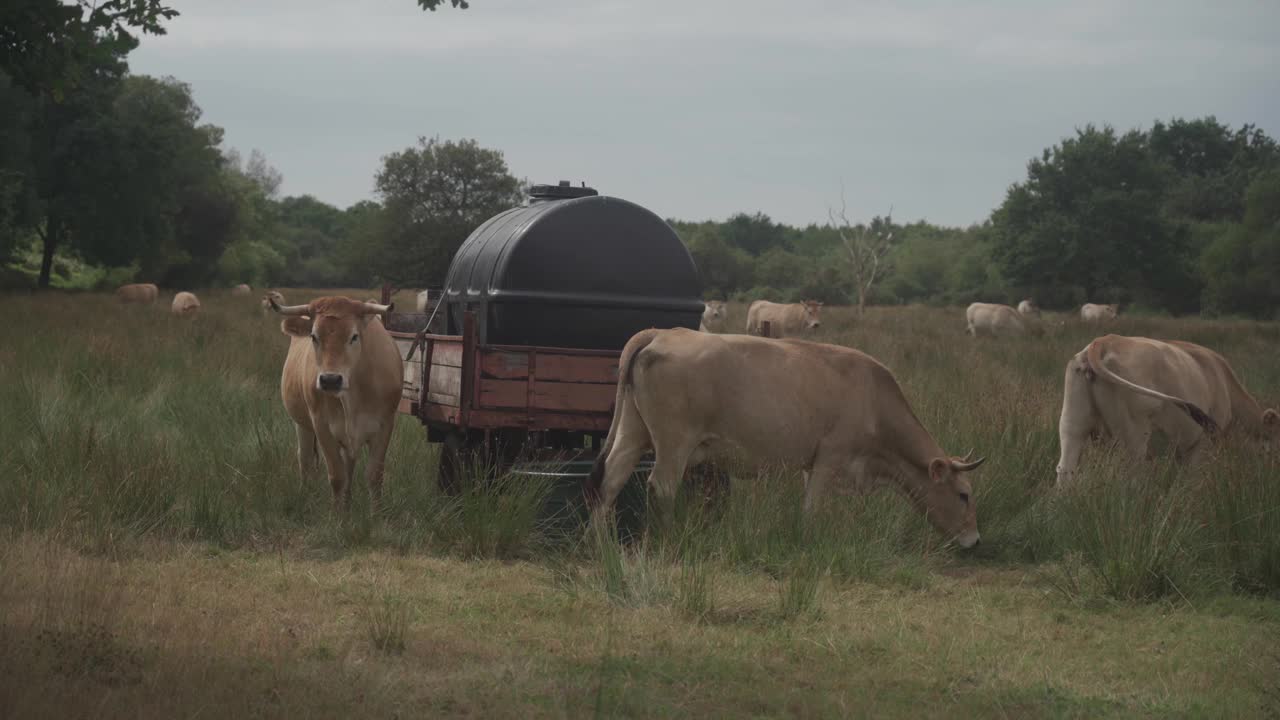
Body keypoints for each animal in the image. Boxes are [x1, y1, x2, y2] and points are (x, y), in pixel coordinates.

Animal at [271, 295, 404, 509]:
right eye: (314, 337)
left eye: (354, 336)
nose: (330, 380)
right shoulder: (322, 427)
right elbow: (337, 477)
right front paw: (337, 514)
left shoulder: (385, 426)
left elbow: (374, 476)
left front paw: (376, 514)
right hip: (302, 425)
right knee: (305, 460)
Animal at [586, 327, 983, 545]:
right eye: (963, 495)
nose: (975, 541)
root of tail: (663, 332)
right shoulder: (830, 458)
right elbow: (812, 509)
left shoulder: (815, 464)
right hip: (674, 444)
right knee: (662, 487)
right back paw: (667, 541)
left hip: (632, 434)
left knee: (610, 481)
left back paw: (600, 545)